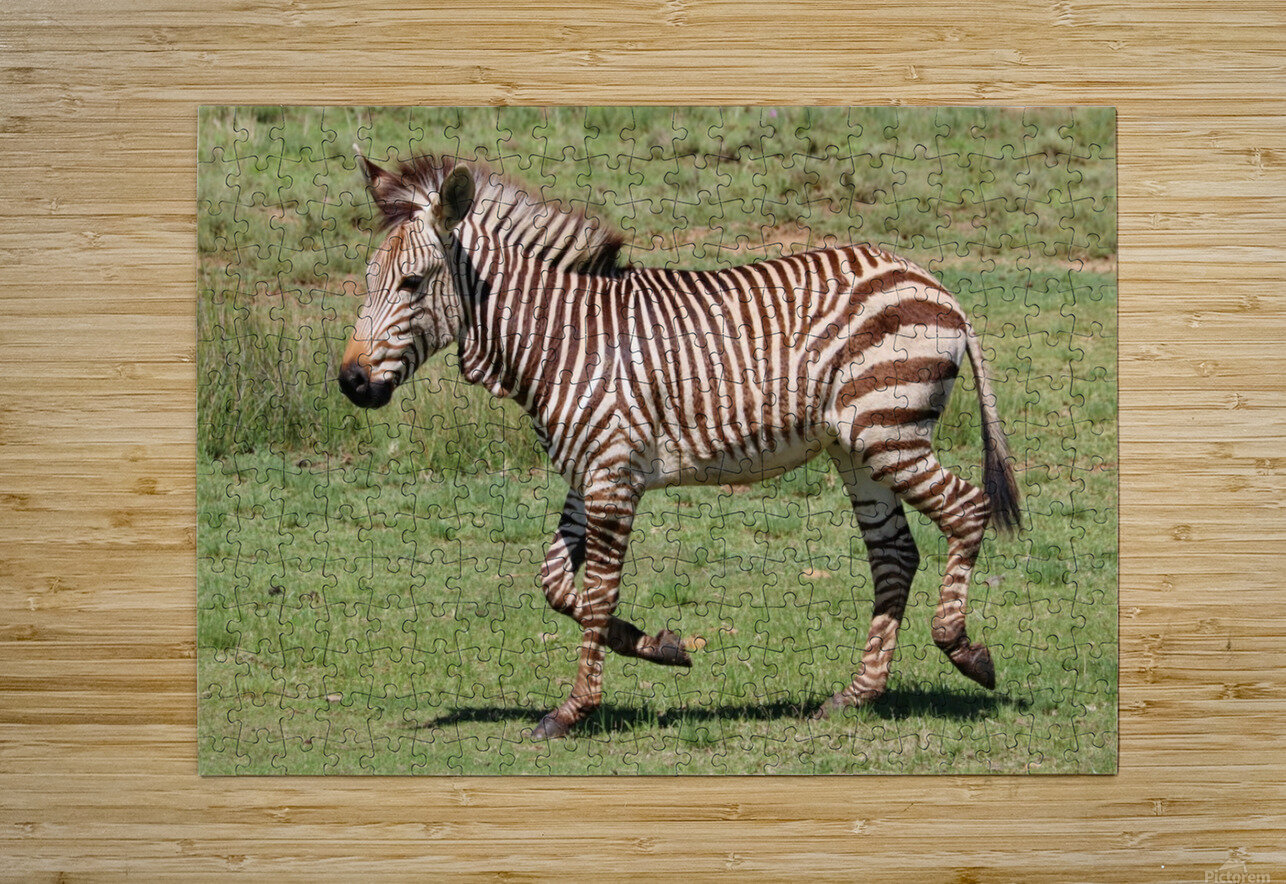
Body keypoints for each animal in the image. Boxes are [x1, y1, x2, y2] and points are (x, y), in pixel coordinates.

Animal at [339, 153, 1022, 740]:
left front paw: (573, 710)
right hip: (857, 449)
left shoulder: (612, 476)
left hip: (888, 432)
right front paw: (657, 646)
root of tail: (936, 286)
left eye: (411, 283)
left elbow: (595, 594)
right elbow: (557, 584)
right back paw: (857, 694)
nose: (350, 382)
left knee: (967, 509)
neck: (561, 337)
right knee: (895, 556)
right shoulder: (589, 473)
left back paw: (965, 652)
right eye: (370, 280)